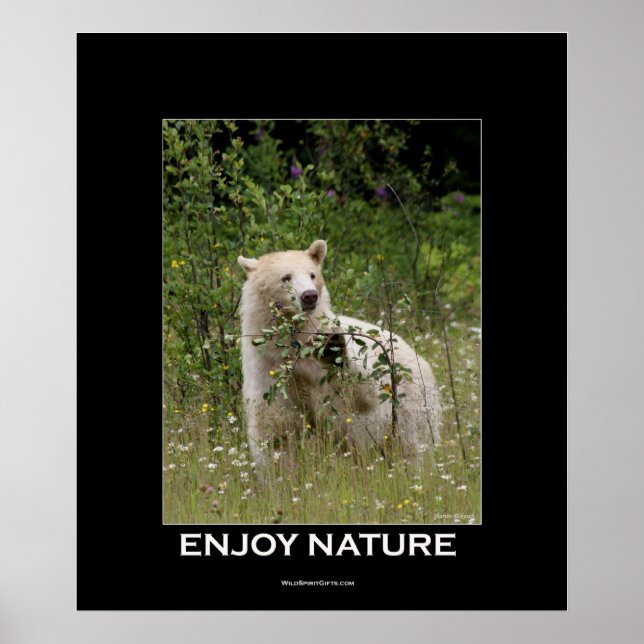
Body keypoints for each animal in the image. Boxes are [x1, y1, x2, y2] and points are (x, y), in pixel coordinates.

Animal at [237, 239, 441, 470]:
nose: (309, 296)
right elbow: (277, 433)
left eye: (312, 274)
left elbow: (355, 398)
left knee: (414, 445)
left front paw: (331, 349)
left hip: (411, 404)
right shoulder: (268, 372)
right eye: (286, 277)